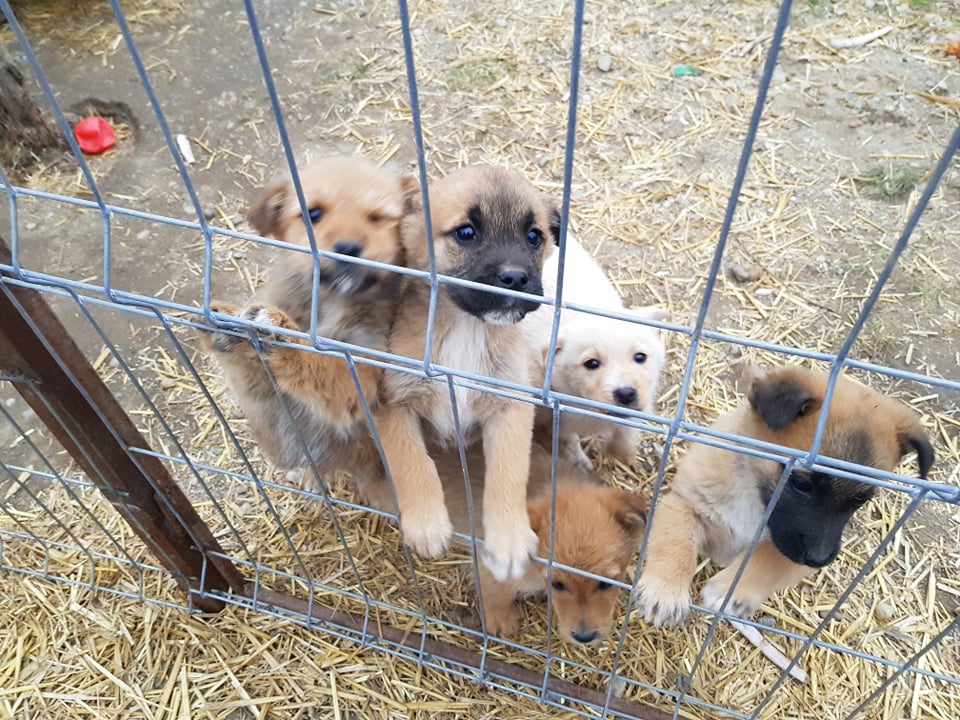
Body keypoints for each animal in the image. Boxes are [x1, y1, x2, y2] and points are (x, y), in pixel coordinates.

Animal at [201, 155, 414, 486]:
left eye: (378, 218)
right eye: (313, 214)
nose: (347, 248)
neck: (329, 303)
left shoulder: (361, 374)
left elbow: (322, 364)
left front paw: (283, 336)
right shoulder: (263, 392)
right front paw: (229, 327)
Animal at [364, 448, 648, 644]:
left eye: (606, 584)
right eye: (557, 584)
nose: (584, 637)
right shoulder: (489, 564)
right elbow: (496, 593)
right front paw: (501, 620)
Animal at [374, 166, 560, 584]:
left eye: (534, 236)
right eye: (466, 232)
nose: (516, 277)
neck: (467, 329)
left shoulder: (510, 406)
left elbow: (508, 472)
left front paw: (508, 540)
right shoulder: (393, 402)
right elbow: (412, 462)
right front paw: (427, 525)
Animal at [632, 366, 932, 624]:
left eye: (861, 499)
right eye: (801, 482)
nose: (820, 558)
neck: (754, 496)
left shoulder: (793, 554)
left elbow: (770, 556)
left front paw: (732, 591)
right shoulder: (682, 502)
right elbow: (676, 542)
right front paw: (665, 591)